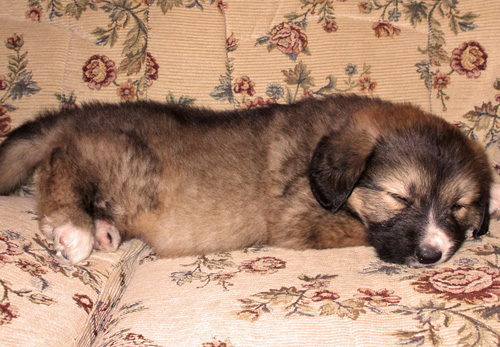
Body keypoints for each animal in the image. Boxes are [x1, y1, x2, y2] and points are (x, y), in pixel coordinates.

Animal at [0, 95, 494, 266]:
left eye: (458, 207)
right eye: (399, 198)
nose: (431, 255)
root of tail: (77, 115)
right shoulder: (301, 221)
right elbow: (362, 231)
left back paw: (103, 230)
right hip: (122, 161)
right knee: (62, 171)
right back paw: (75, 230)